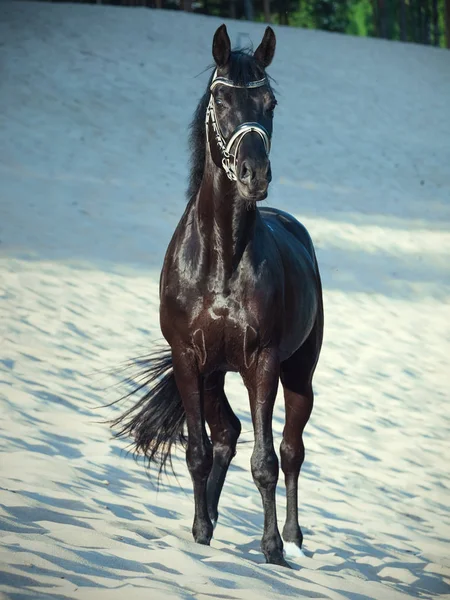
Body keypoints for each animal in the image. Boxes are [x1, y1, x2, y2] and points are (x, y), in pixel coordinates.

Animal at [112, 24, 324, 568]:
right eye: (222, 99)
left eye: (270, 103)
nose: (255, 174)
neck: (220, 260)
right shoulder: (189, 359)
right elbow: (198, 451)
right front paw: (201, 532)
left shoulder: (262, 362)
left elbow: (266, 461)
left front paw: (272, 550)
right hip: (212, 374)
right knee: (225, 434)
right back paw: (206, 520)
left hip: (298, 373)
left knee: (291, 449)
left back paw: (293, 537)